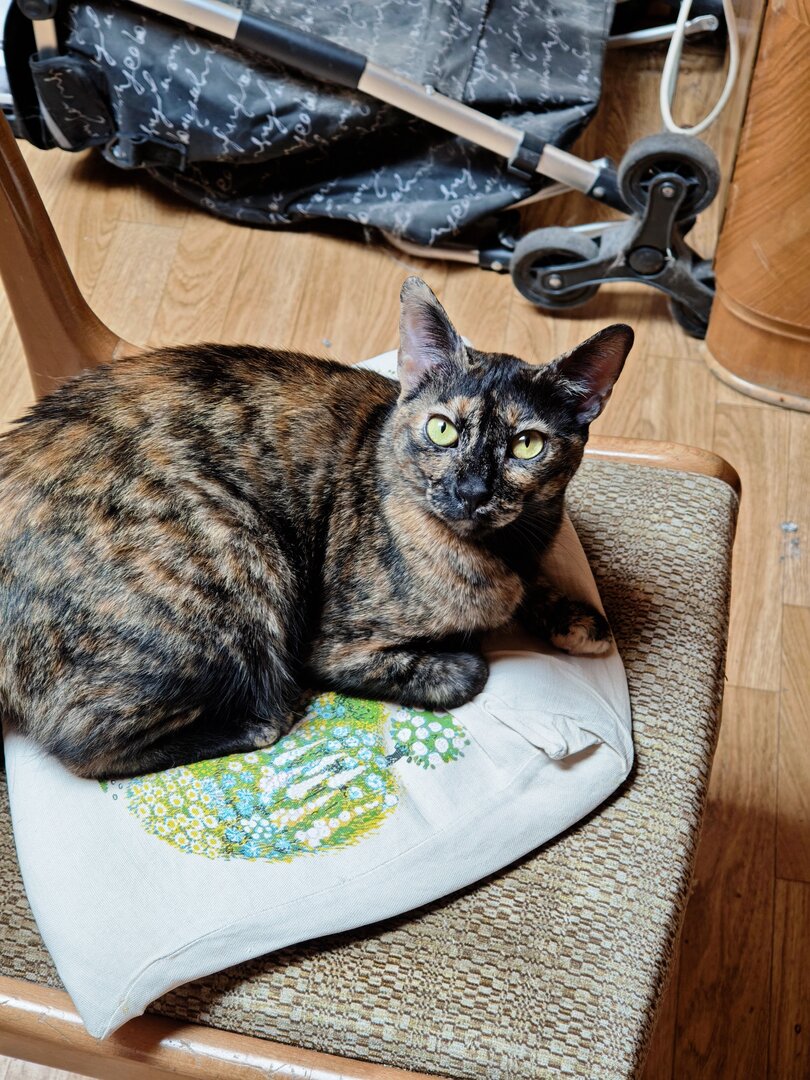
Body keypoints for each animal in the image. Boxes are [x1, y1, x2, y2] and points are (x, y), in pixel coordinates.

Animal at [0, 277, 633, 779]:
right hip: (242, 551)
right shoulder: (333, 648)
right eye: (443, 430)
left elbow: (536, 590)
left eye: (527, 445)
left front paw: (575, 618)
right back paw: (257, 720)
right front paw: (464, 653)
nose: (473, 491)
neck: (503, 552)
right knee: (83, 743)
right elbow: (462, 673)